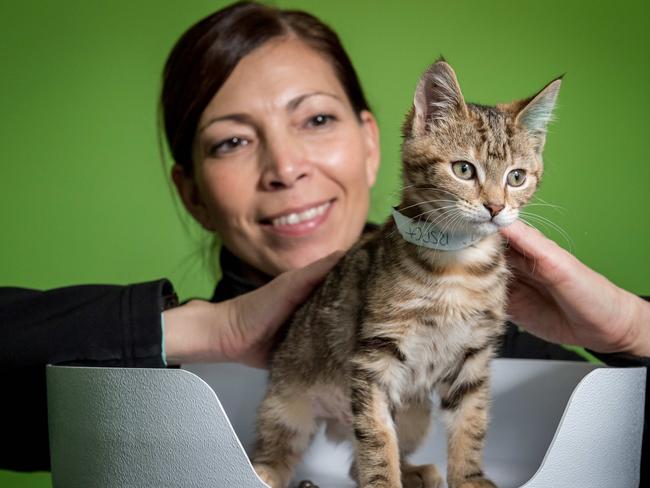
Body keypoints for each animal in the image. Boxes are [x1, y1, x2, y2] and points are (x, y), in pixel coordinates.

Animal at [251, 58, 560, 488]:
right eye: (464, 169)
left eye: (516, 177)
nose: (496, 207)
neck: (457, 267)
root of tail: (335, 422)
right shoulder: (375, 357)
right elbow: (377, 437)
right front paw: (384, 482)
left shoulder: (473, 357)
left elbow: (471, 424)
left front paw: (469, 477)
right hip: (287, 398)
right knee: (287, 441)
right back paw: (265, 470)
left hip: (415, 411)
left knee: (358, 460)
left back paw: (414, 472)